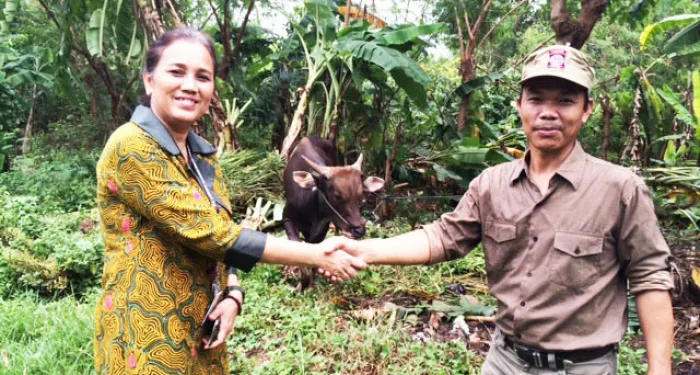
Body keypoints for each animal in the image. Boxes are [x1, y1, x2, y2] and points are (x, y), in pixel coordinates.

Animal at [284, 137, 382, 290]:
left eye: (361, 196)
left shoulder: (322, 228)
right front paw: (301, 284)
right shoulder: (287, 218)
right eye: (337, 196)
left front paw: (310, 285)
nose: (359, 231)